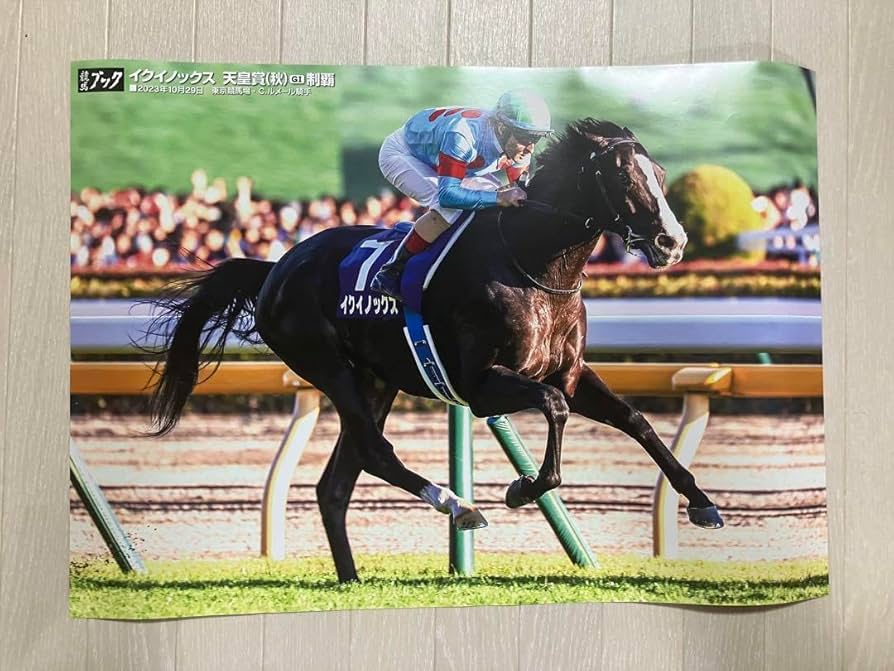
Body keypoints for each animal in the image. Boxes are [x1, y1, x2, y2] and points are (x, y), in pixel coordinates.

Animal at [148, 119, 723, 583]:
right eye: (625, 179)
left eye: (663, 176)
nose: (673, 242)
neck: (535, 267)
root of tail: (276, 268)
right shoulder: (481, 386)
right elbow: (554, 410)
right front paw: (522, 488)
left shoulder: (571, 374)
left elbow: (634, 420)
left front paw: (702, 503)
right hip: (329, 368)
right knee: (375, 452)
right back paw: (457, 504)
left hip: (376, 380)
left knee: (336, 483)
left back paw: (351, 578)